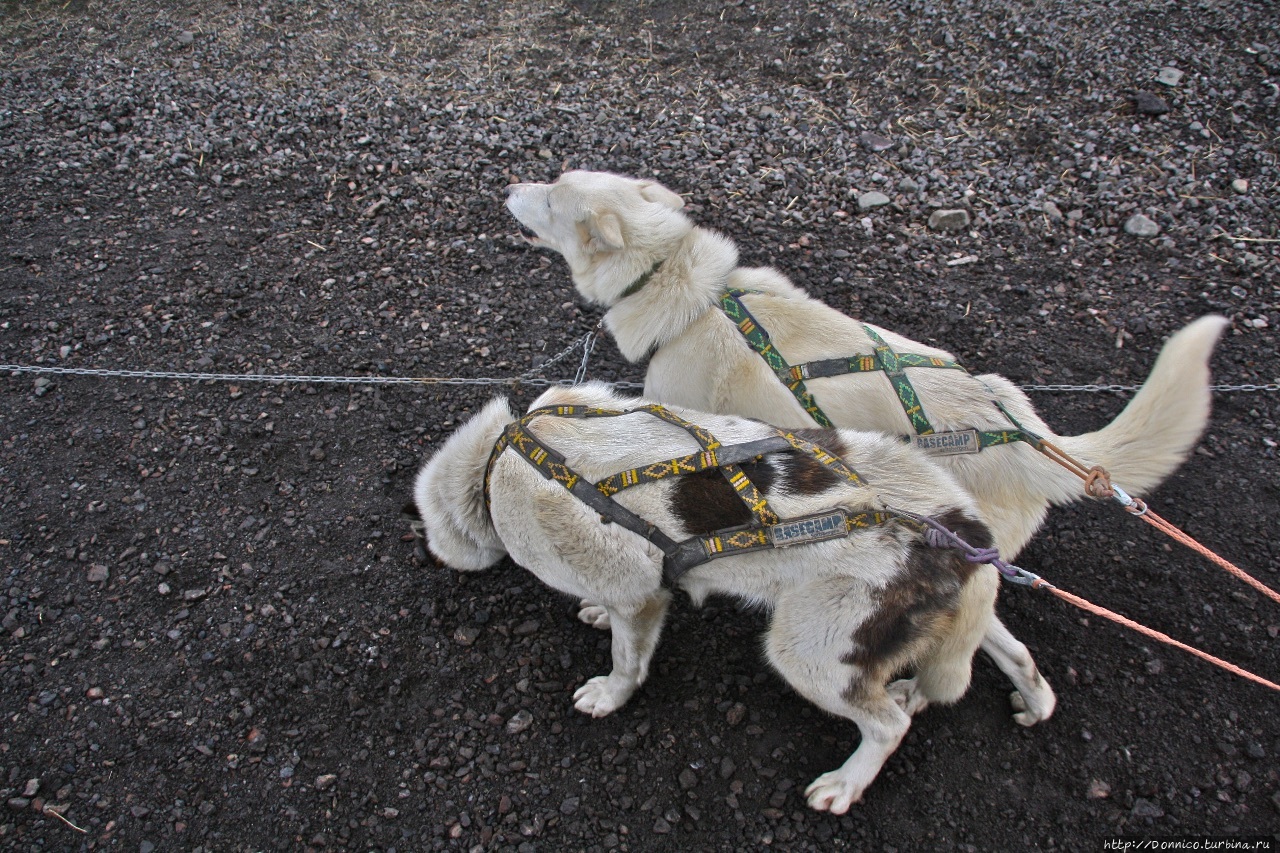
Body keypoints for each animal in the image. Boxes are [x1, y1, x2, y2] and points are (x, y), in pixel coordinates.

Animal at [407, 381, 1049, 809]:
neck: (496, 461)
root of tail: (960, 529)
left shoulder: (638, 596)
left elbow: (626, 661)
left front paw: (610, 694)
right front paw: (593, 612)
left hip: (806, 652)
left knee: (887, 726)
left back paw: (846, 783)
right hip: (951, 613)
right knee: (1011, 651)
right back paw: (1029, 700)